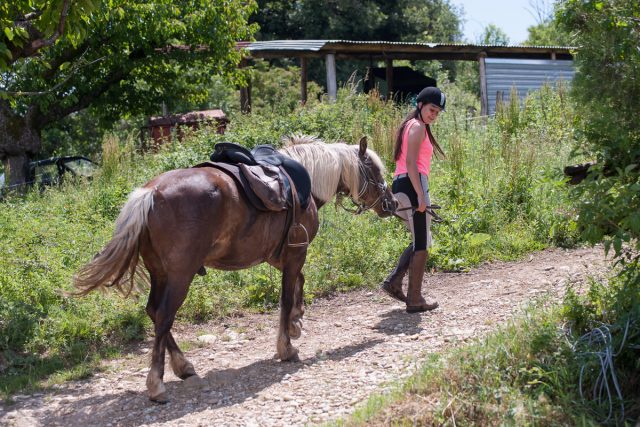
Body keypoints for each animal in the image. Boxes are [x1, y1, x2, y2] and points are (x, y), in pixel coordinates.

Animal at [72, 135, 398, 402]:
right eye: (375, 171)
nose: (392, 203)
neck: (304, 180)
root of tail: (150, 193)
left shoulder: (282, 255)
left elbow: (299, 284)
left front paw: (297, 321)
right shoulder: (296, 252)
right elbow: (286, 296)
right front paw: (286, 346)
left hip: (160, 273)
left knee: (153, 312)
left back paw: (183, 366)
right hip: (179, 276)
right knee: (163, 316)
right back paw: (157, 385)